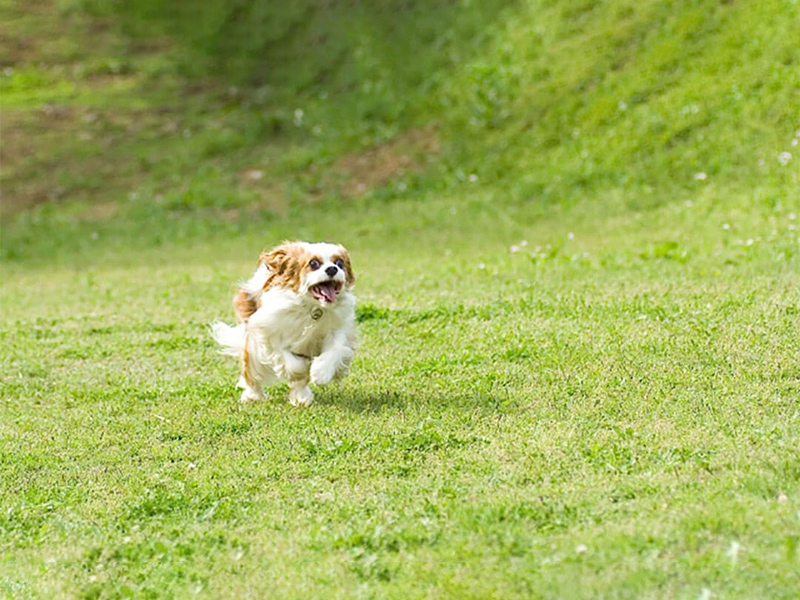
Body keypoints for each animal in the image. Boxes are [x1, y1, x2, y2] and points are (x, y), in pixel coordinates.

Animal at [216, 241, 360, 406]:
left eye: (339, 263)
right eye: (314, 263)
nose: (332, 269)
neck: (312, 308)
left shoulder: (338, 329)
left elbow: (335, 349)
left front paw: (320, 373)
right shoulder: (268, 333)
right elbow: (292, 363)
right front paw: (303, 367)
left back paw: (301, 398)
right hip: (254, 353)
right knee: (252, 375)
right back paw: (253, 396)